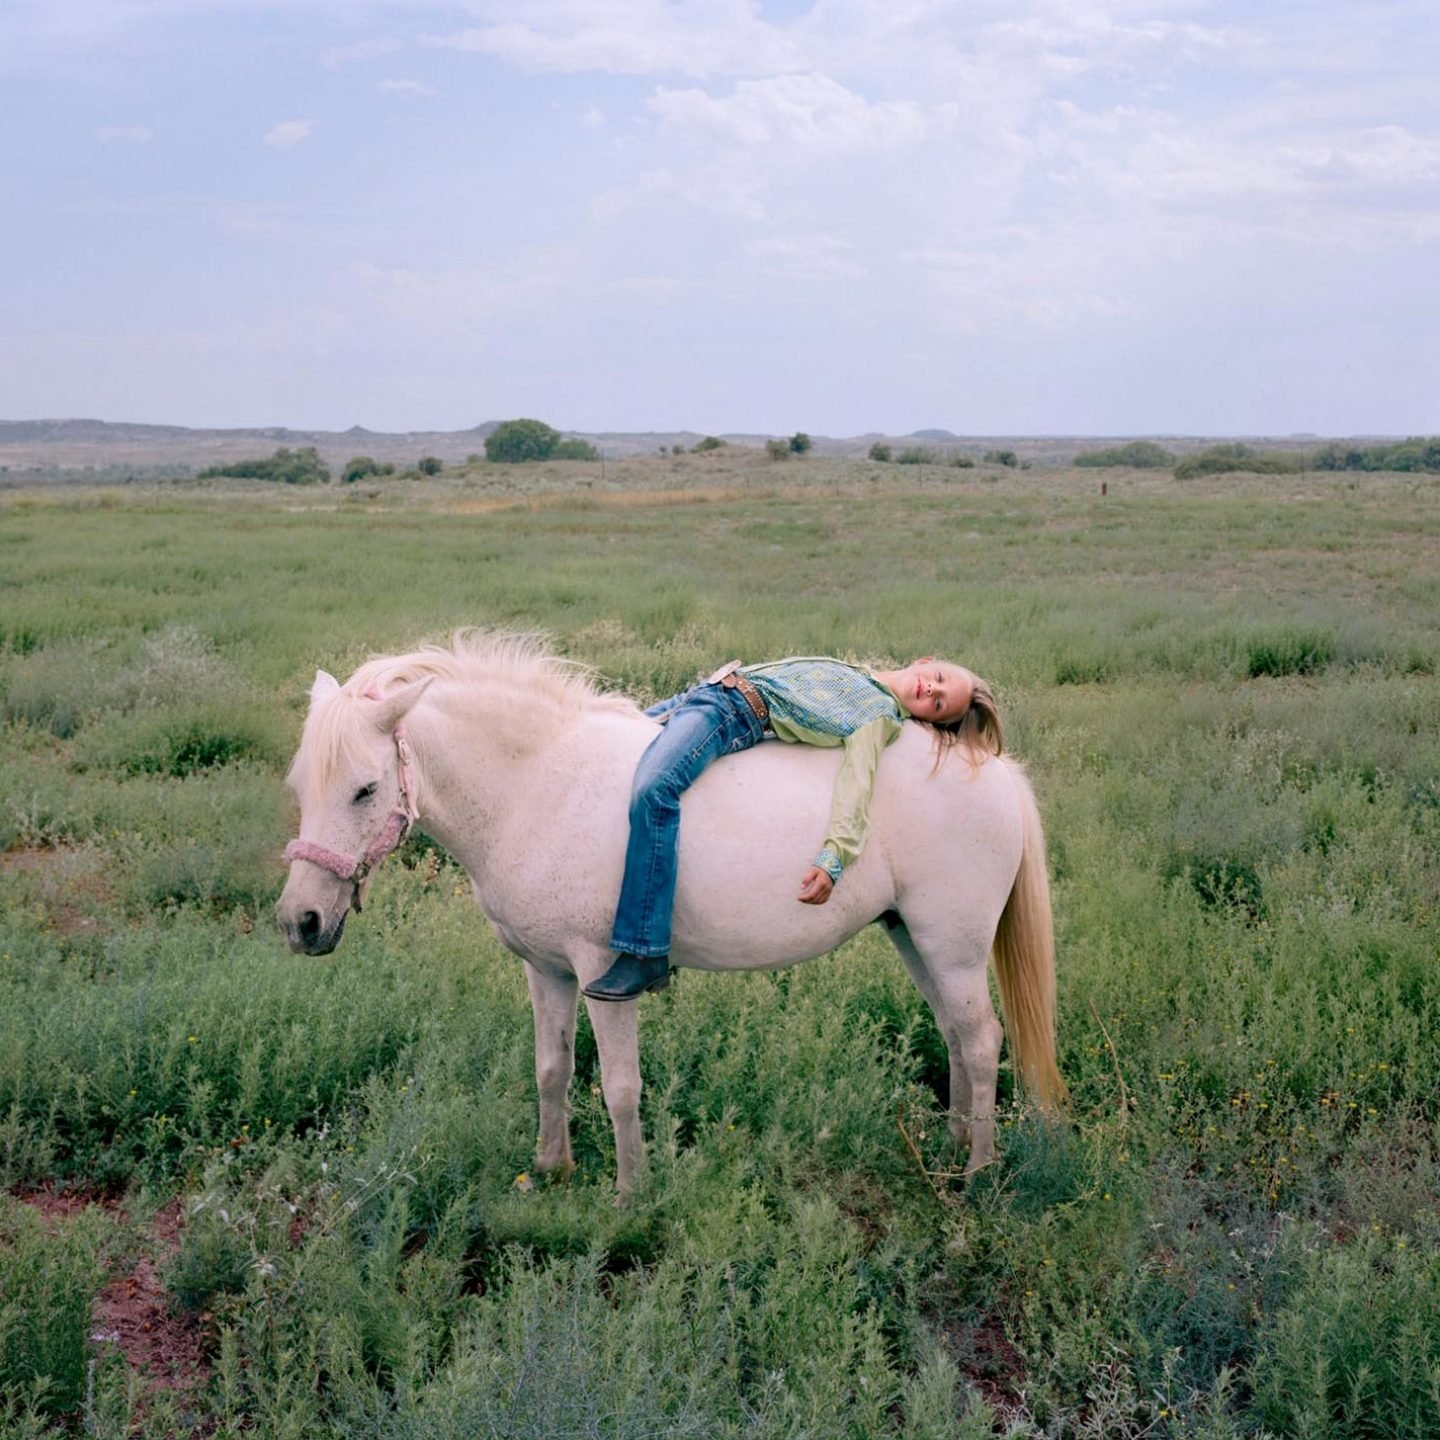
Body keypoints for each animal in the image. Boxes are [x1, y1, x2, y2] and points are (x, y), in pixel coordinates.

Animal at [277, 636, 1071, 1198]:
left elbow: (620, 1087)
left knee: (981, 1041)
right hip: (915, 938)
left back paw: (977, 1173)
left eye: (365, 788)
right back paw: (952, 1148)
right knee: (956, 1036)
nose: (300, 922)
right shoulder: (546, 971)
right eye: (300, 784)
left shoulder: (602, 976)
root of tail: (994, 767)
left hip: (953, 945)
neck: (538, 784)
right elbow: (551, 1069)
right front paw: (552, 1168)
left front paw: (632, 1194)